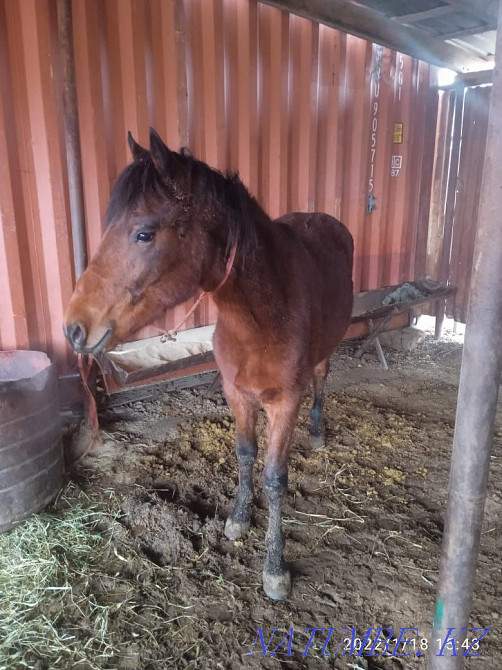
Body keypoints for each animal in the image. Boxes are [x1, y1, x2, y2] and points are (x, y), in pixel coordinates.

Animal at [64, 128, 354, 600]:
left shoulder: (284, 402)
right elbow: (244, 454)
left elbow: (275, 478)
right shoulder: (237, 393)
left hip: (325, 354)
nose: (73, 329)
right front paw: (238, 518)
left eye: (144, 234)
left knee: (321, 380)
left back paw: (316, 431)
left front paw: (275, 568)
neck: (263, 316)